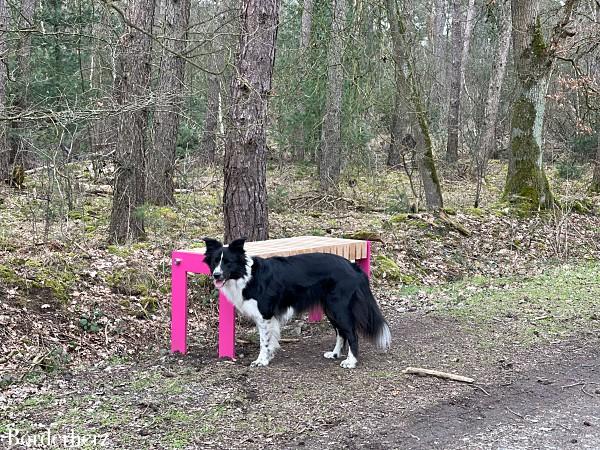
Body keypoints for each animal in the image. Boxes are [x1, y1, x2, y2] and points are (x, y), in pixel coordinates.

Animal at [203, 237, 390, 368]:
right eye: (215, 261)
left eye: (228, 262)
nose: (216, 275)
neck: (246, 275)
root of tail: (352, 266)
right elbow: (270, 340)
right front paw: (269, 356)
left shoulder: (264, 314)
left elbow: (264, 341)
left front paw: (262, 360)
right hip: (330, 309)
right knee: (341, 332)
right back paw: (335, 354)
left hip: (339, 308)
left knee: (352, 333)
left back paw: (351, 362)